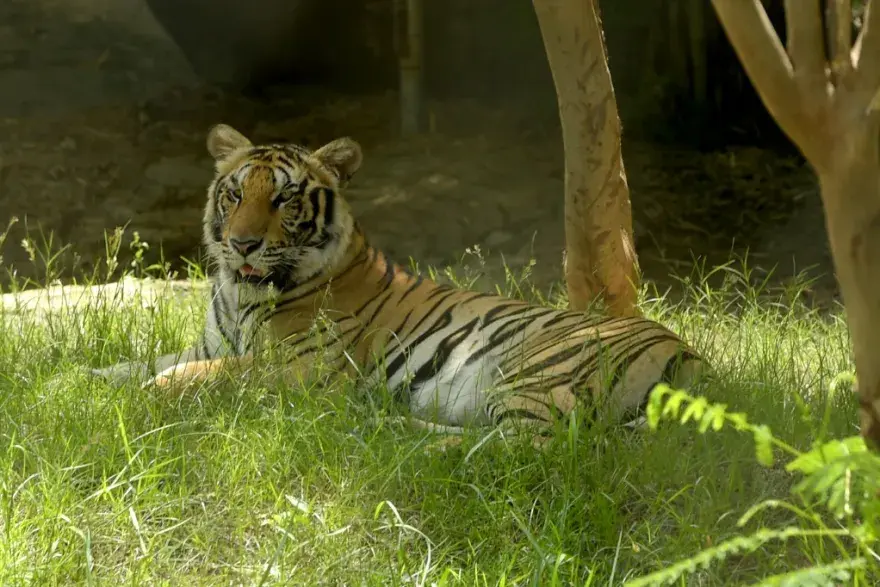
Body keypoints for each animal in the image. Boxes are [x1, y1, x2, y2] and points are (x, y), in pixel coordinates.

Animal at [92, 123, 706, 444]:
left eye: (285, 199)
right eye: (235, 194)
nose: (242, 244)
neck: (242, 292)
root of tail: (696, 361)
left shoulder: (303, 368)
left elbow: (204, 374)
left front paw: (151, 395)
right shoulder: (207, 343)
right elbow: (137, 363)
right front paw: (77, 380)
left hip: (537, 372)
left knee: (520, 449)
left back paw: (390, 433)